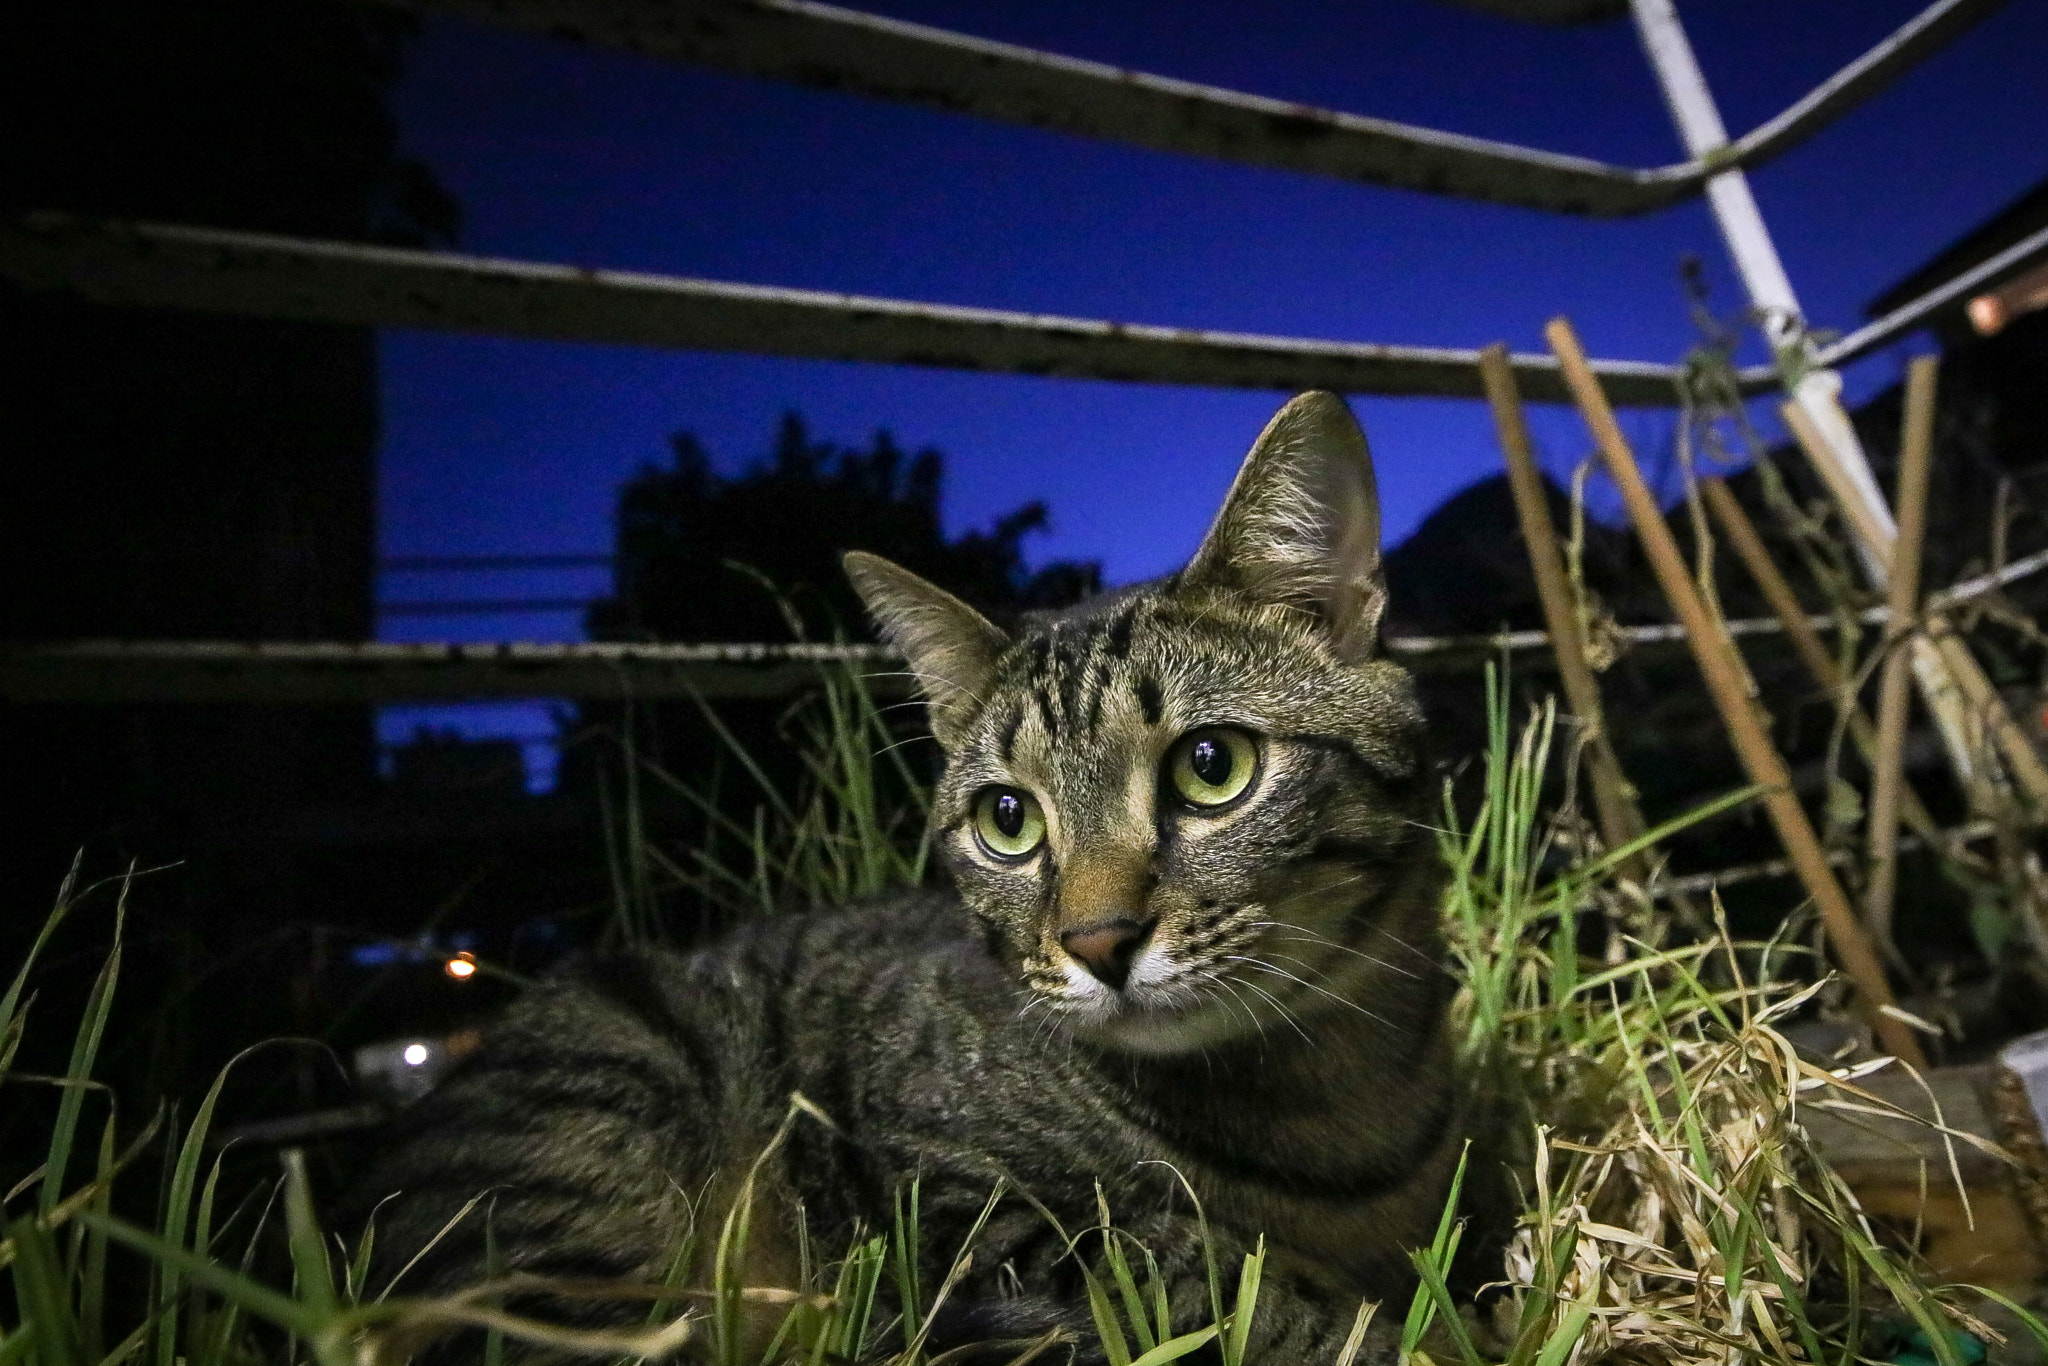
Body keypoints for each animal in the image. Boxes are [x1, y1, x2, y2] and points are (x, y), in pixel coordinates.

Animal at [364, 389, 1474, 1359]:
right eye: (1007, 820)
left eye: (1212, 767)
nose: (1097, 941)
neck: (1331, 1096)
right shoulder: (958, 1209)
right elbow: (1211, 1279)